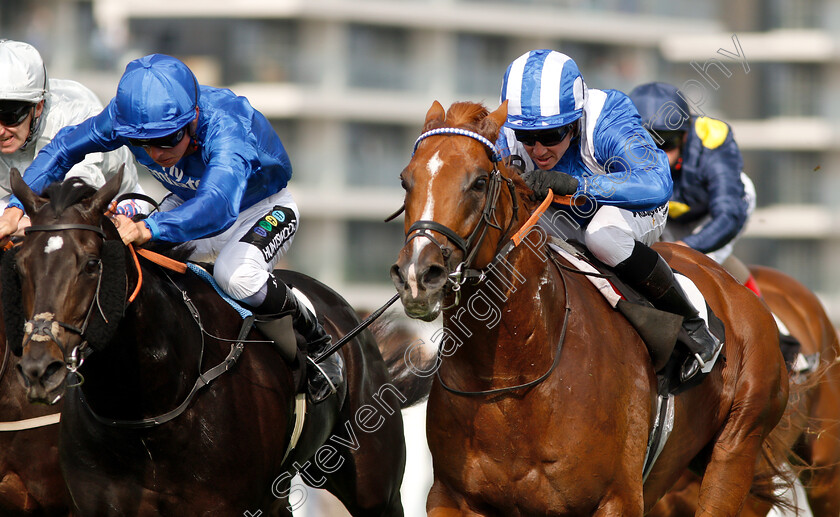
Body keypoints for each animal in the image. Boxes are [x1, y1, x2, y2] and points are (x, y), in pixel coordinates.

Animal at [390, 99, 796, 512]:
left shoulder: (618, 497)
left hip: (737, 446)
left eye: (478, 182)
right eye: (406, 180)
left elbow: (648, 175)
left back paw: (701, 337)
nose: (418, 274)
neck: (511, 380)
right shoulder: (451, 496)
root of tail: (735, 291)